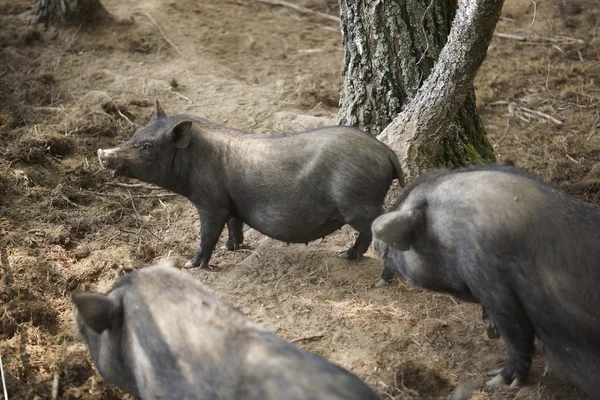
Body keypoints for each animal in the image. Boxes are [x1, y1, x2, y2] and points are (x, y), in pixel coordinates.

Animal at [98, 100, 404, 268]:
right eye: (135, 133)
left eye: (147, 147)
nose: (102, 154)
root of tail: (386, 152)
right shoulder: (230, 202)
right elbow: (235, 225)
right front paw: (229, 248)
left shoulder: (211, 202)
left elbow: (208, 233)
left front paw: (191, 264)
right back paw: (345, 255)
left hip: (358, 203)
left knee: (376, 228)